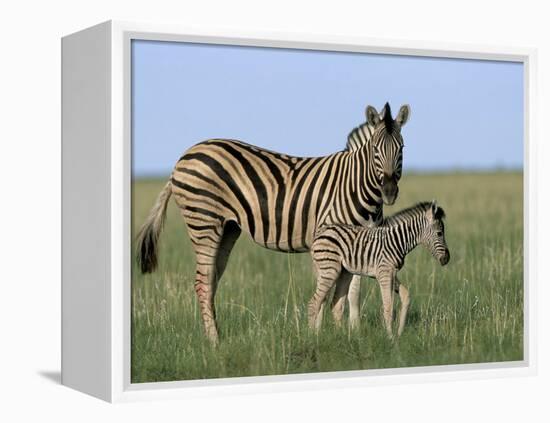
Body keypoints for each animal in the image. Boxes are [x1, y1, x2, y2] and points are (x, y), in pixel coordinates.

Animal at [136, 102, 410, 344]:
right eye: (375, 149)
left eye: (402, 148)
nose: (389, 192)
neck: (354, 185)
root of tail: (184, 157)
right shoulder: (331, 238)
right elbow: (329, 292)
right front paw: (319, 334)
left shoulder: (361, 243)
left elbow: (354, 291)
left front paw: (354, 333)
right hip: (203, 220)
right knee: (202, 282)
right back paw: (214, 342)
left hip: (227, 228)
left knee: (211, 279)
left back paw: (216, 335)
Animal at [308, 201, 450, 338]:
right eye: (439, 233)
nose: (447, 259)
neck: (397, 242)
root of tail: (320, 232)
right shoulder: (384, 273)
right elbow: (388, 306)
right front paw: (390, 337)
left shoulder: (392, 273)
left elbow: (406, 296)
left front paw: (399, 332)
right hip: (330, 269)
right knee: (314, 303)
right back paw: (312, 336)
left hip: (344, 272)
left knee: (335, 305)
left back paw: (341, 336)